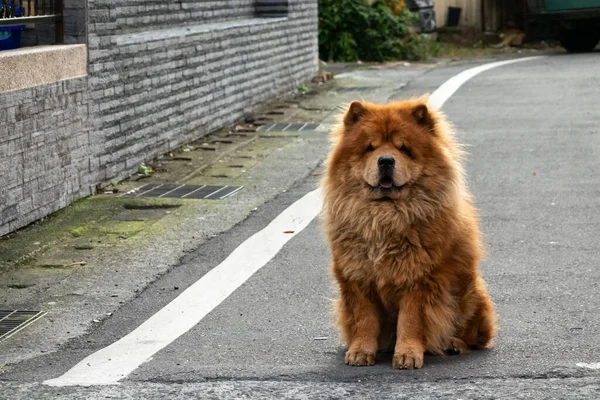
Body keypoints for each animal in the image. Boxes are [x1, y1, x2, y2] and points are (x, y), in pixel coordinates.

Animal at [324, 98, 496, 370]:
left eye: (403, 149)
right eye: (370, 148)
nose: (385, 160)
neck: (385, 216)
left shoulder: (419, 278)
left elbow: (411, 320)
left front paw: (407, 355)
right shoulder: (356, 277)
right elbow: (363, 319)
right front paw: (360, 353)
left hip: (471, 295)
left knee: (475, 337)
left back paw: (453, 344)